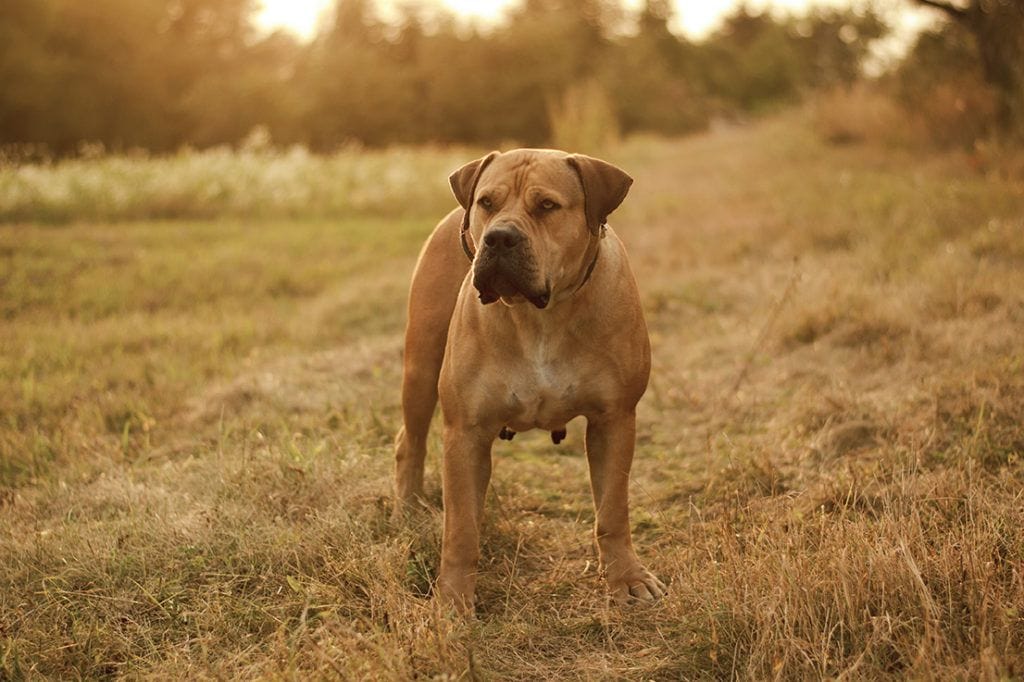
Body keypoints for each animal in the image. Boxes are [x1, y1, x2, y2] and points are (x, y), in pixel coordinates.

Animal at [389, 148, 663, 610]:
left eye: (547, 206)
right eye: (487, 202)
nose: (498, 238)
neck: (541, 315)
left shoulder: (614, 419)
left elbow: (612, 511)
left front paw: (626, 578)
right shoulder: (465, 431)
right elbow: (460, 530)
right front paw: (453, 599)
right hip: (421, 368)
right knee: (410, 443)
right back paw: (406, 514)